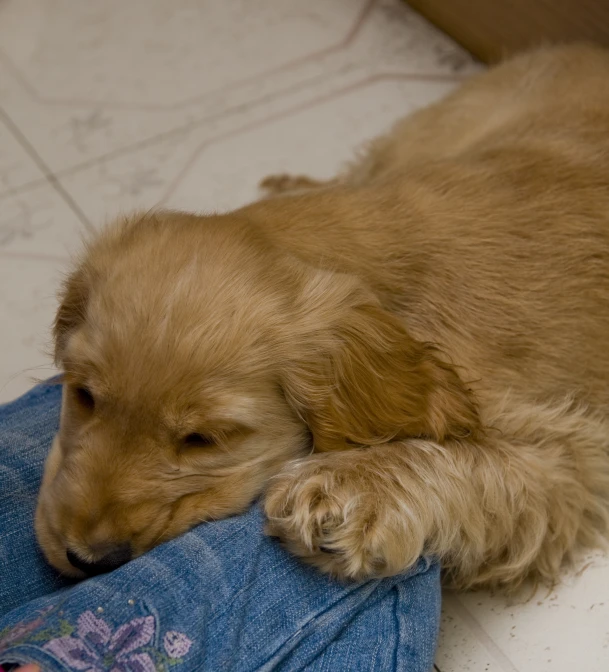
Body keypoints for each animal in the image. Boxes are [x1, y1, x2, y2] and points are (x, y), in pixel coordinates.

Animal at [36, 43, 608, 588]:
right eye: (83, 395)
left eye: (205, 439)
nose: (86, 557)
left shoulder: (567, 453)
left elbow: (476, 459)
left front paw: (349, 488)